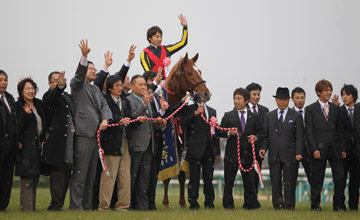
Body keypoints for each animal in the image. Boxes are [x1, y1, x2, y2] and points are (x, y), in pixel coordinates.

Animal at [161, 52, 211, 208]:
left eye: (199, 71)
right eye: (189, 73)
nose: (206, 94)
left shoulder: (182, 144)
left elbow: (182, 175)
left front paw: (183, 202)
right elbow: (166, 175)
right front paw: (165, 203)